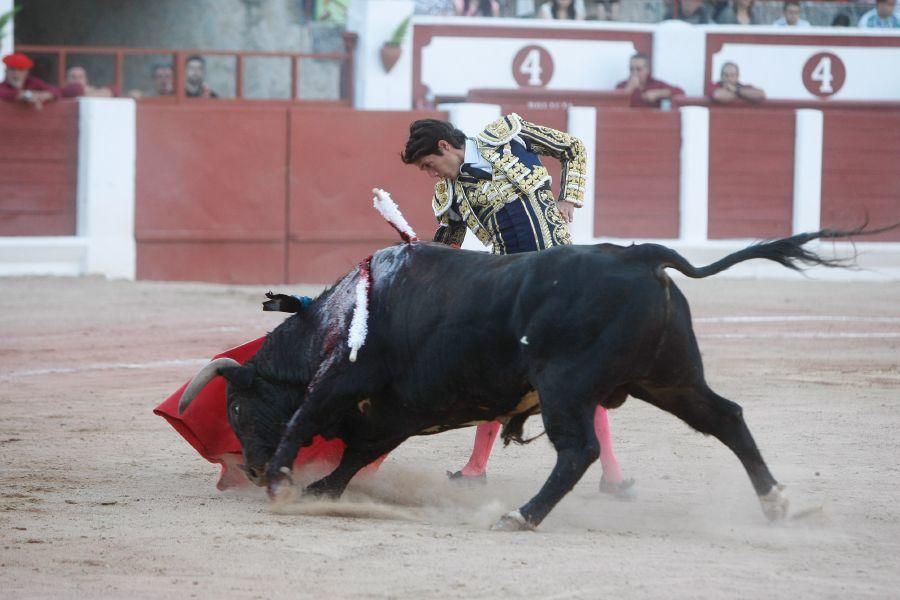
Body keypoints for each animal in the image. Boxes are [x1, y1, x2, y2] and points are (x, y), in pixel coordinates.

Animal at [176, 229, 880, 528]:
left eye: (235, 409)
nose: (250, 469)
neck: (342, 316)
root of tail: (641, 255)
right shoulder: (394, 414)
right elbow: (353, 454)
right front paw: (322, 492)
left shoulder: (345, 381)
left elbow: (304, 419)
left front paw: (285, 483)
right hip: (670, 378)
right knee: (726, 417)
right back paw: (777, 502)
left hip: (568, 383)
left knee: (580, 450)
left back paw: (523, 514)